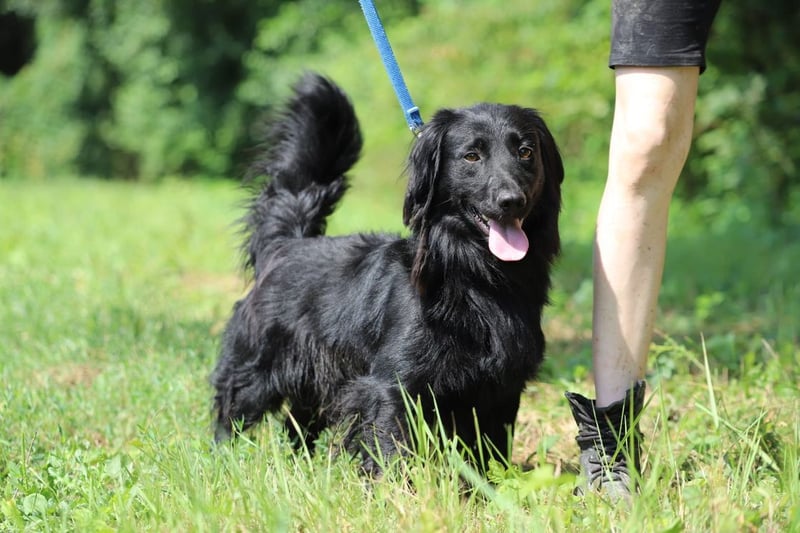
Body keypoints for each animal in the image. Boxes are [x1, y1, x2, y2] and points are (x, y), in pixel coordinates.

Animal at [211, 73, 563, 475]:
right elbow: (394, 449)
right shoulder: (393, 384)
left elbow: (490, 451)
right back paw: (223, 459)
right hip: (256, 368)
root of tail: (287, 244)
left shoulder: (502, 386)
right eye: (472, 156)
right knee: (232, 414)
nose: (512, 200)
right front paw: (396, 489)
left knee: (296, 423)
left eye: (526, 152)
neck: (476, 278)